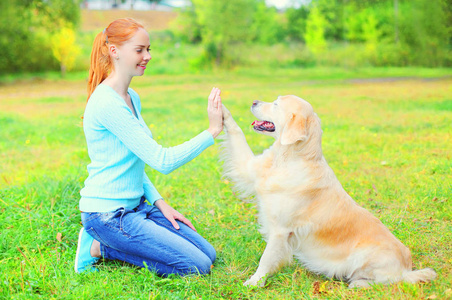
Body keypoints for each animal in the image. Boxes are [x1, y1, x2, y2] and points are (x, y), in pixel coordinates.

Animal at [221, 96, 436, 288]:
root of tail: (406, 267)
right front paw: (221, 109)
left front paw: (254, 282)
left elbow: (266, 259)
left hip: (366, 256)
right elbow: (237, 132)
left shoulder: (280, 230)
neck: (288, 158)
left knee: (388, 281)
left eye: (275, 104)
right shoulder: (249, 168)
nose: (254, 102)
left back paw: (359, 283)